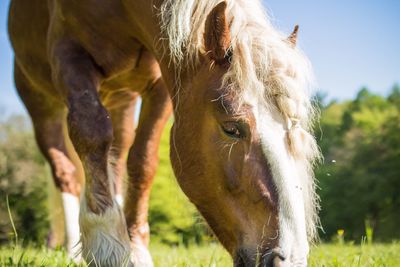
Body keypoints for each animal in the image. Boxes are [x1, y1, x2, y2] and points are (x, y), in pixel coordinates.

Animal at [7, 0, 320, 266]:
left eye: (293, 129)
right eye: (231, 128)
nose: (288, 259)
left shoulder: (160, 82)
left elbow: (142, 160)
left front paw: (134, 246)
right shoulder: (69, 53)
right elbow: (90, 132)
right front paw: (106, 243)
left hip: (121, 101)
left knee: (115, 158)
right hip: (40, 104)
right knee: (66, 173)